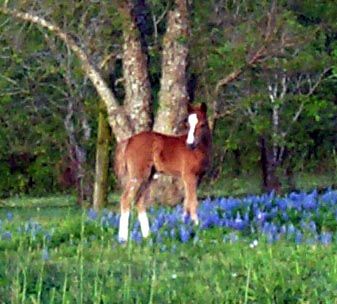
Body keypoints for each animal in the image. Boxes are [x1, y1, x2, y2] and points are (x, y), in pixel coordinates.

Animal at [114, 103, 211, 241]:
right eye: (187, 125)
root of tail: (129, 140)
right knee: (126, 199)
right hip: (138, 176)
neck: (198, 150)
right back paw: (123, 239)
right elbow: (193, 202)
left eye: (202, 124)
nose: (190, 144)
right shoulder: (189, 176)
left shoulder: (197, 178)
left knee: (139, 201)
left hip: (148, 177)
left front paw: (184, 228)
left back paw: (147, 236)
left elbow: (186, 203)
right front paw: (197, 229)